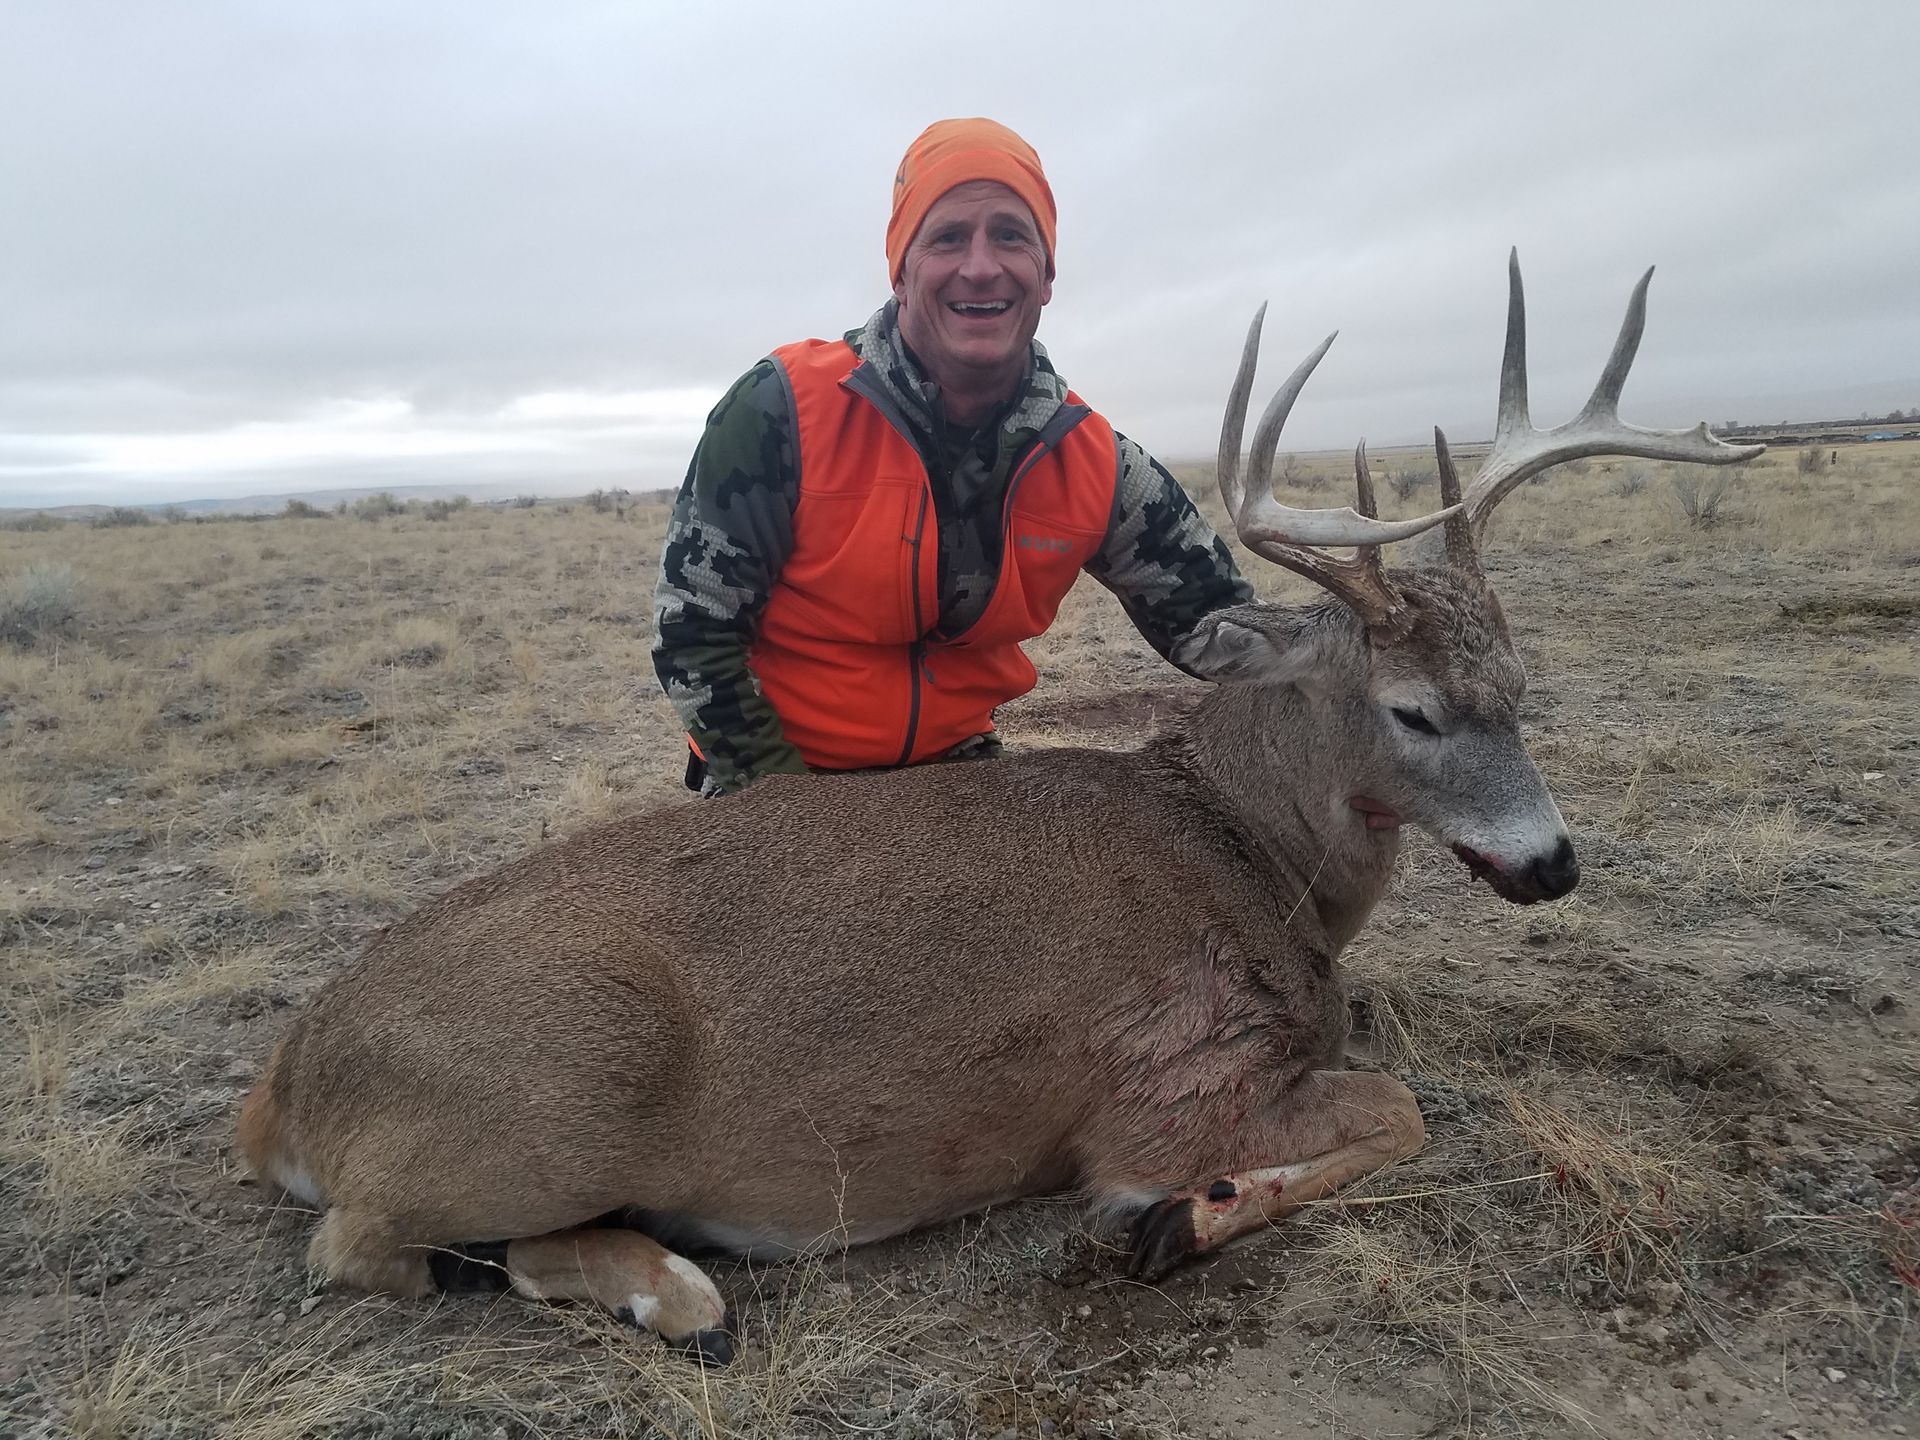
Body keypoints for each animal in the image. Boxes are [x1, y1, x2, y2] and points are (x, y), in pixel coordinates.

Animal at [238, 253, 1760, 1365]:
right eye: (1415, 713)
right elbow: (1395, 1113)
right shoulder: (1169, 1085)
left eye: (1523, 687)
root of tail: (285, 1089)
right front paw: (1180, 1221)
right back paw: (678, 1292)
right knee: (363, 1249)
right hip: (555, 1097)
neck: (1248, 851)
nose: (1553, 863)